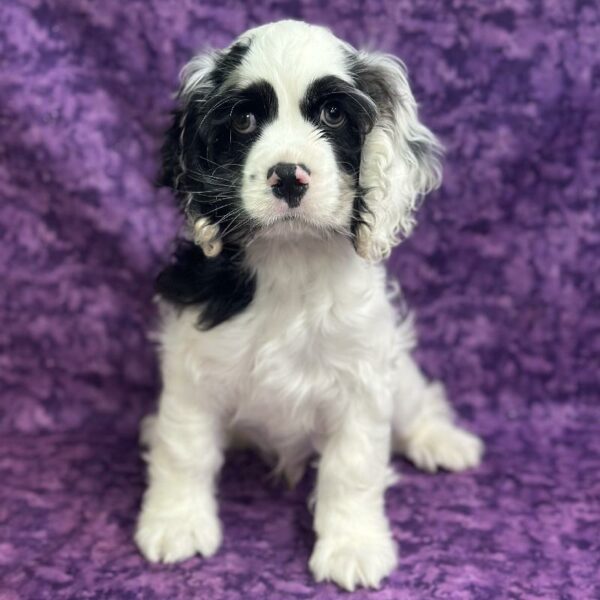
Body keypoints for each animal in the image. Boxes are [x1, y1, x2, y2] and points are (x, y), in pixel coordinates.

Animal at [135, 19, 482, 592]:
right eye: (244, 119)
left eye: (334, 115)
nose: (288, 175)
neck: (292, 258)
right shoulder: (193, 364)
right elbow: (185, 448)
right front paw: (176, 522)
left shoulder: (364, 376)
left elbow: (353, 468)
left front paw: (353, 547)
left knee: (416, 401)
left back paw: (442, 441)